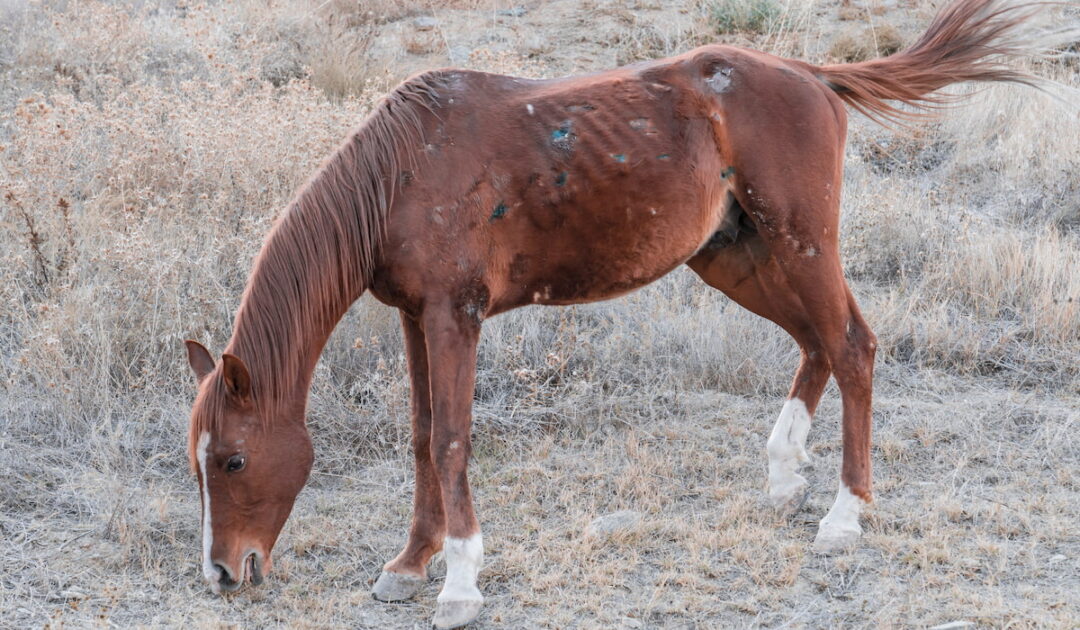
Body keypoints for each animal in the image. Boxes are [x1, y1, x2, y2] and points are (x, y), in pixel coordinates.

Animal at [183, 1, 1051, 627]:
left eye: (232, 461)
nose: (224, 573)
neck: (400, 173)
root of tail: (810, 73)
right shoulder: (415, 318)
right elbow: (423, 437)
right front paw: (408, 565)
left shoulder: (454, 316)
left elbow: (452, 439)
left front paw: (459, 583)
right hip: (735, 258)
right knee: (817, 344)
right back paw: (783, 473)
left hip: (800, 244)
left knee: (854, 347)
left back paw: (845, 514)